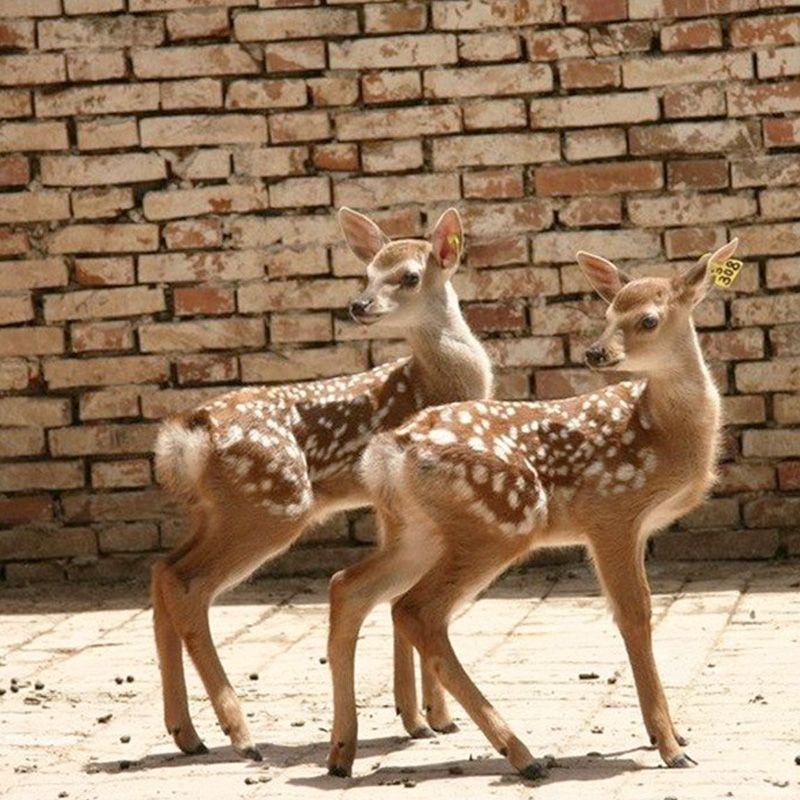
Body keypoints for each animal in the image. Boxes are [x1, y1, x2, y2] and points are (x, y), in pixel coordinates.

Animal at [150, 207, 493, 761]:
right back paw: (240, 734)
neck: (437, 383)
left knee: (163, 570)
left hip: (214, 510)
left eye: (408, 276)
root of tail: (190, 435)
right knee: (189, 584)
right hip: (272, 506)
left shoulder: (386, 503)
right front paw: (426, 718)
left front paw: (426, 719)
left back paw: (188, 734)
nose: (359, 304)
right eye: (367, 273)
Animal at [326, 239, 738, 780]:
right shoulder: (611, 513)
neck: (666, 434)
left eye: (648, 319)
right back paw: (522, 754)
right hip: (501, 521)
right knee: (416, 610)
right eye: (608, 313)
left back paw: (341, 753)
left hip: (416, 530)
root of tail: (391, 451)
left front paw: (672, 733)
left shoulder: (635, 526)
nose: (595, 352)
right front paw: (670, 747)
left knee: (350, 587)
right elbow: (635, 615)